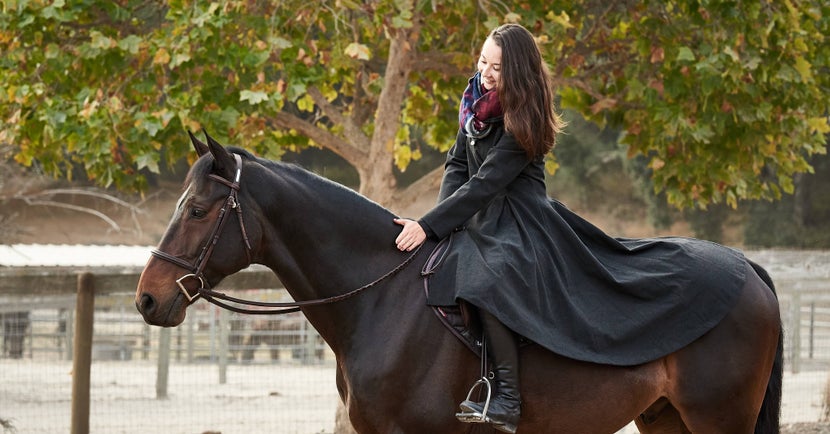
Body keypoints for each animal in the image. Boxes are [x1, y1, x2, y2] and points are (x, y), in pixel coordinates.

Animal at [136, 132, 788, 434]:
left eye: (198, 210)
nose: (148, 297)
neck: (381, 299)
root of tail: (748, 270)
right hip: (666, 417)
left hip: (718, 418)